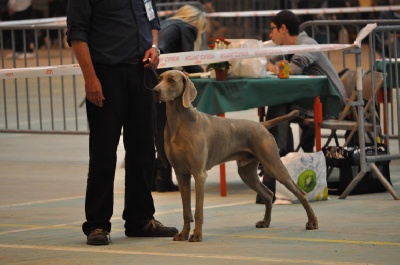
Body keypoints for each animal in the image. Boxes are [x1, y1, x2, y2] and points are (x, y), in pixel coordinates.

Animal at [152, 69, 318, 241]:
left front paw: (197, 235)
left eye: (171, 80)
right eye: (159, 79)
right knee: (268, 194)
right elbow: (186, 211)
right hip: (246, 172)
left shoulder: (199, 174)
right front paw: (183, 234)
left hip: (273, 164)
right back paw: (265, 222)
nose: (155, 91)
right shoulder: (181, 174)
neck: (179, 122)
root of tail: (261, 124)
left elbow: (198, 211)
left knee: (300, 193)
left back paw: (312, 222)